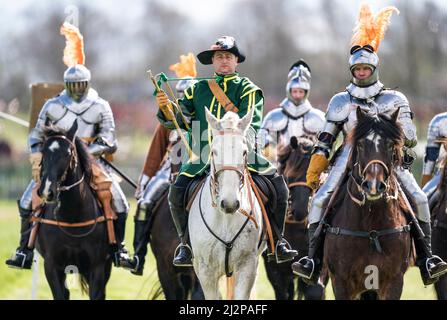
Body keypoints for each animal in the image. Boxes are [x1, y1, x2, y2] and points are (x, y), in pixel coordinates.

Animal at [36, 122, 113, 300]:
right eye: (43, 152)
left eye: (67, 153)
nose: (47, 191)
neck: (72, 218)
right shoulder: (52, 266)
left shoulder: (97, 267)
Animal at [188, 108, 266, 300]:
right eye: (214, 152)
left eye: (244, 152)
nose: (230, 203)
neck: (225, 219)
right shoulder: (205, 270)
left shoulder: (247, 266)